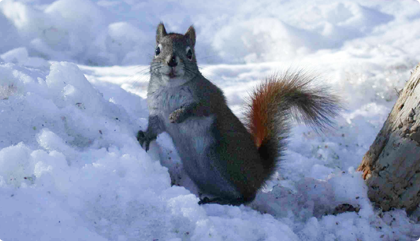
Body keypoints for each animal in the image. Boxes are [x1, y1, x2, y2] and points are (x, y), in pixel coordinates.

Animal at [136, 23, 340, 205]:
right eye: (157, 50)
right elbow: (154, 127)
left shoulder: (209, 98)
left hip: (222, 158)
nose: (172, 61)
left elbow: (196, 109)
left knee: (248, 196)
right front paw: (144, 136)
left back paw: (225, 201)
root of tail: (260, 173)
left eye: (189, 53)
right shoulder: (156, 113)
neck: (171, 89)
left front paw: (178, 115)